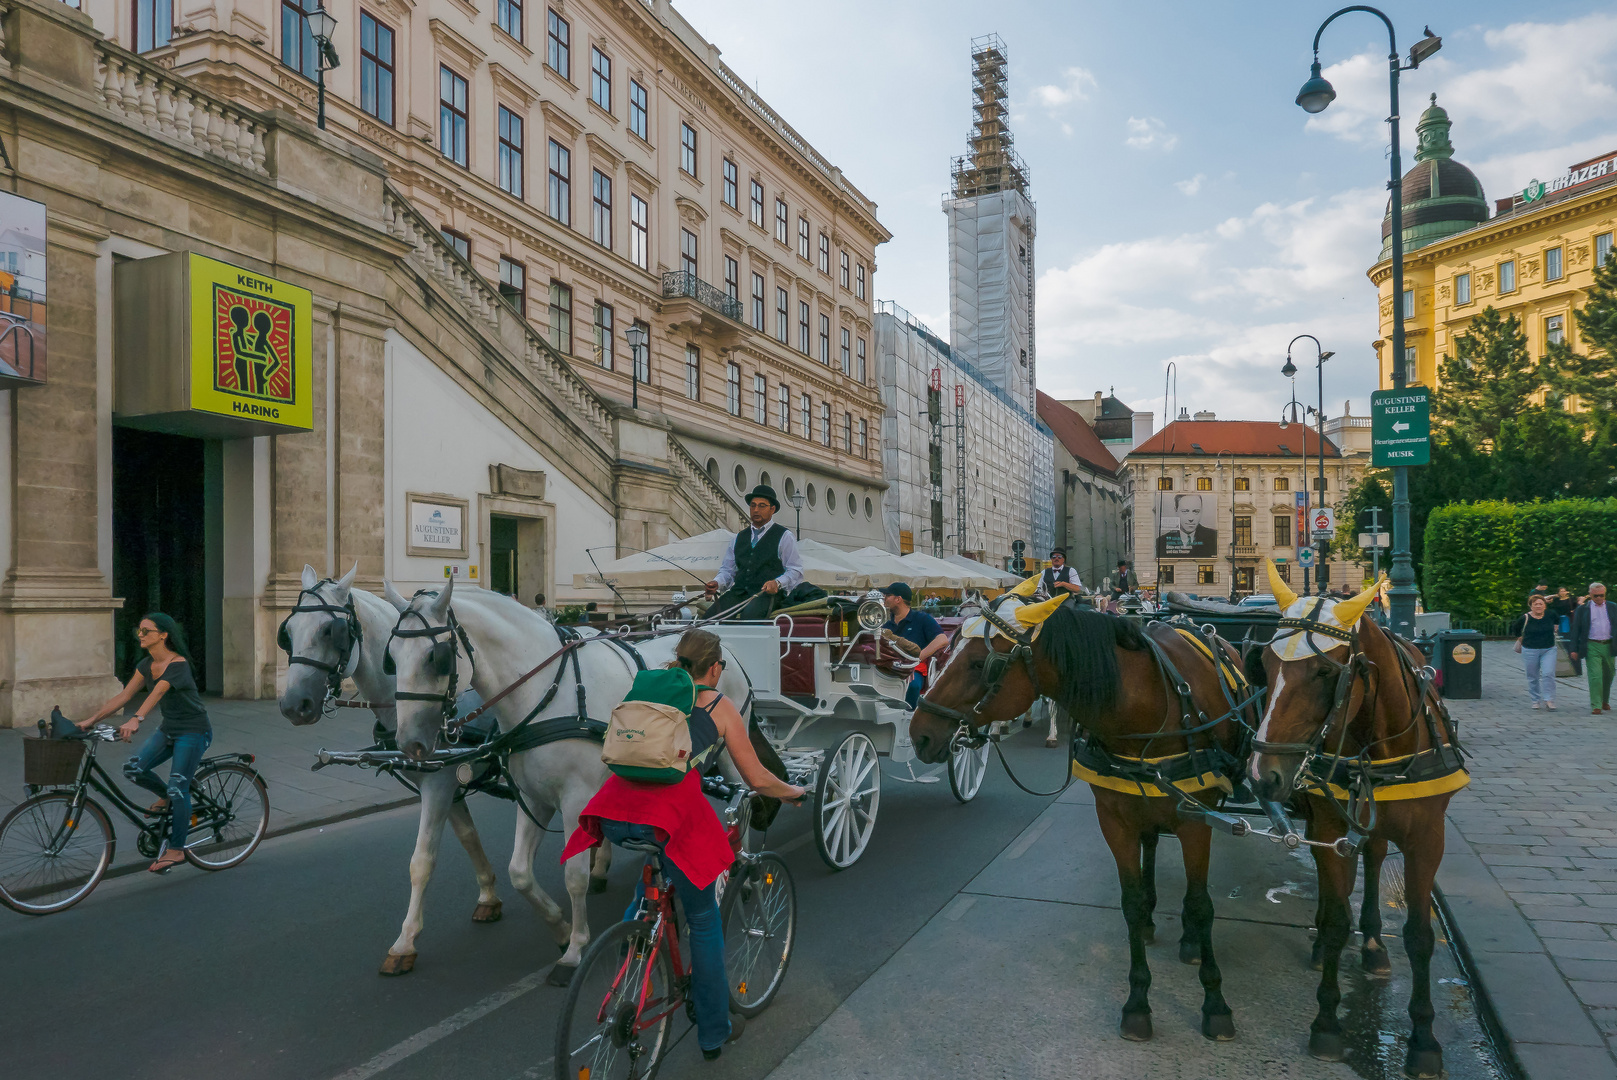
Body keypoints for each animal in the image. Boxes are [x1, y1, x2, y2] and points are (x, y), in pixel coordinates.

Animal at [276, 565, 504, 970]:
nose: (293, 705)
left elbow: (421, 860)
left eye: (329, 631)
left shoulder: (440, 783)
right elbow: (468, 837)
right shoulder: (446, 784)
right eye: (287, 633)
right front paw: (488, 895)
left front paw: (405, 942)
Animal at [384, 578, 756, 982]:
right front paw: (560, 928)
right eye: (392, 658)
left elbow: (574, 876)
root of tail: (723, 644)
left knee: (747, 798)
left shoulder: (575, 796)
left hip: (733, 747)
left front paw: (576, 947)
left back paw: (743, 870)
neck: (547, 692)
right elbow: (519, 872)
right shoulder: (533, 797)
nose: (409, 744)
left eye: (434, 658)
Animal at [911, 594, 1261, 1041]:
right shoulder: (1114, 818)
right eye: (949, 649)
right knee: (1150, 841)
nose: (919, 733)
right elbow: (1130, 904)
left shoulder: (1197, 820)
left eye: (978, 664)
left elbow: (1201, 905)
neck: (1146, 709)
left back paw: (1188, 939)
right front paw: (1138, 1001)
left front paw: (1215, 1003)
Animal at [1241, 565, 1474, 1080]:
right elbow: (1334, 922)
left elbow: (1419, 936)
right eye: (1262, 664)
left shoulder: (1428, 840)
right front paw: (1327, 1021)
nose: (1262, 776)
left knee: (1374, 857)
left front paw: (1423, 1040)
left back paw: (1372, 944)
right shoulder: (1328, 826)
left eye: (1326, 672)